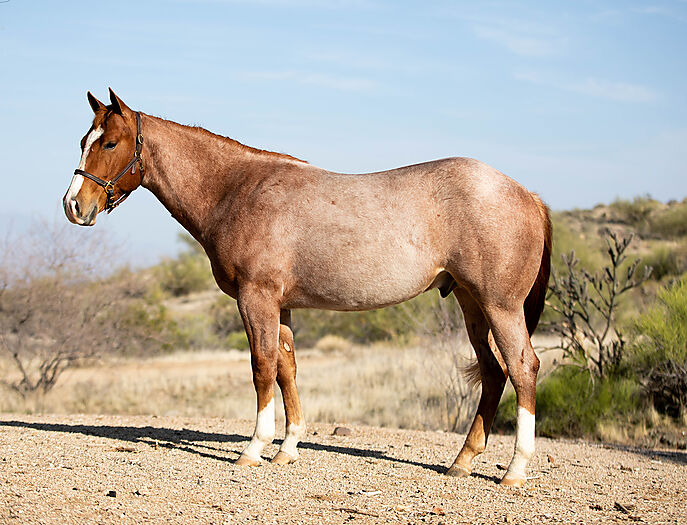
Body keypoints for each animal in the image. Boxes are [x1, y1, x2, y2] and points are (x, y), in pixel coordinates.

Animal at [63, 89, 551, 487]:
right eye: (83, 141)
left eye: (109, 143)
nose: (74, 206)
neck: (236, 189)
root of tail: (526, 194)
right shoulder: (281, 307)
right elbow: (287, 369)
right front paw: (288, 448)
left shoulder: (256, 298)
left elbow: (262, 368)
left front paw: (253, 449)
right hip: (471, 304)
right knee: (493, 373)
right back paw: (462, 462)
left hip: (500, 306)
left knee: (522, 368)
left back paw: (514, 470)